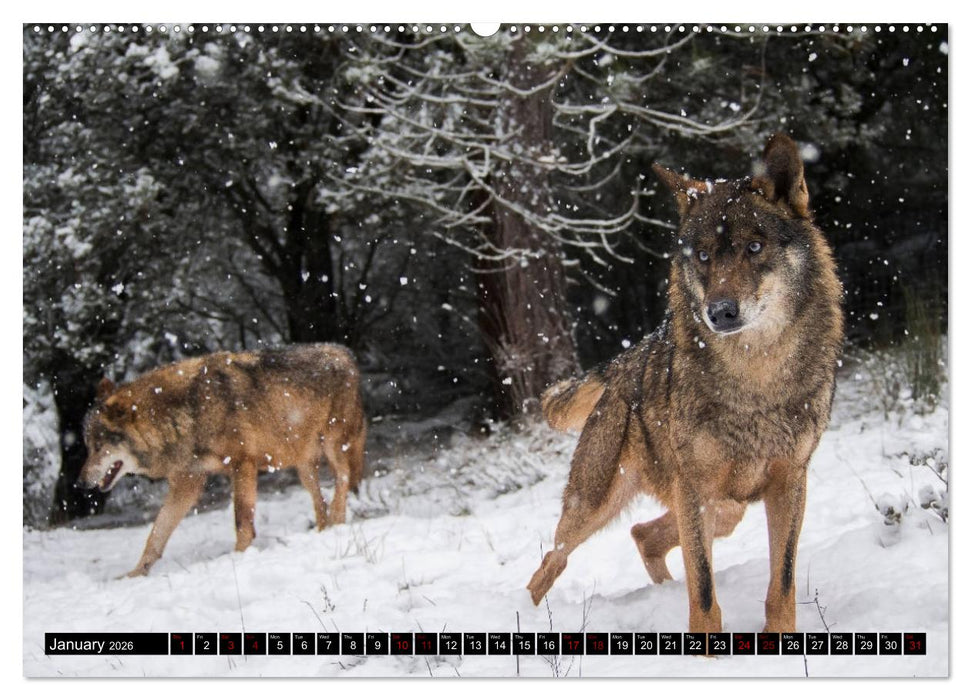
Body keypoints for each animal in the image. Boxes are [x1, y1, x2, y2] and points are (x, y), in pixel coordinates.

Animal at [79, 343, 367, 577]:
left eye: (99, 447)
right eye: (88, 447)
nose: (80, 483)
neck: (187, 413)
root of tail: (346, 353)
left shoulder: (242, 464)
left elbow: (242, 520)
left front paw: (239, 557)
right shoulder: (187, 483)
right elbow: (156, 533)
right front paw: (135, 574)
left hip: (333, 445)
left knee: (342, 479)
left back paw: (338, 520)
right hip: (303, 467)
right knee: (320, 500)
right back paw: (324, 530)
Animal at [527, 134, 844, 634]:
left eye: (755, 247)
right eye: (703, 255)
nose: (720, 312)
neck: (755, 377)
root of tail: (625, 361)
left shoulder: (791, 481)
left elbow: (783, 582)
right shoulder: (694, 490)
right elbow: (706, 591)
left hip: (726, 508)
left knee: (643, 534)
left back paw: (663, 591)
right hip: (599, 505)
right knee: (550, 563)